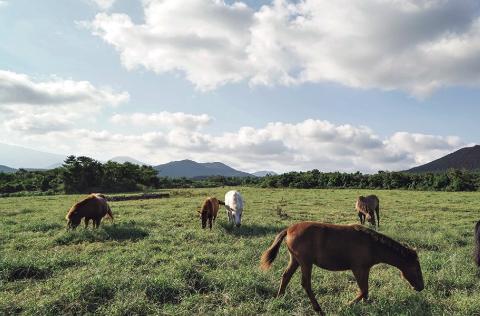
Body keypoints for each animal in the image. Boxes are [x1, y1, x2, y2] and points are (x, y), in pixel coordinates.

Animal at [260, 221, 422, 314]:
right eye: (416, 269)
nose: (421, 287)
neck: (372, 245)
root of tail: (288, 229)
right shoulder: (358, 269)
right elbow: (364, 290)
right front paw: (347, 305)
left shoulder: (365, 269)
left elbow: (366, 292)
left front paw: (366, 306)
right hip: (306, 262)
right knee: (306, 283)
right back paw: (318, 309)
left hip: (295, 260)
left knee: (286, 276)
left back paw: (280, 298)